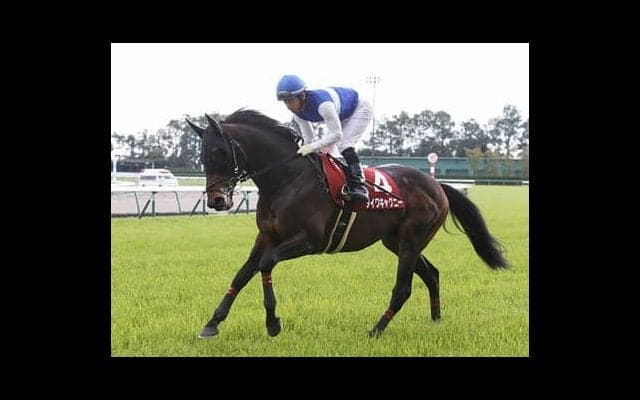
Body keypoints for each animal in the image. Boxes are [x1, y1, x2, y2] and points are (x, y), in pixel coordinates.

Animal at [186, 109, 508, 338]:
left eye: (219, 152)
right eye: (201, 156)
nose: (217, 200)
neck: (286, 180)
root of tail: (437, 184)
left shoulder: (309, 240)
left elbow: (265, 264)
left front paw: (273, 323)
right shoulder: (265, 237)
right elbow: (242, 274)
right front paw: (212, 323)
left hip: (410, 239)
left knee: (403, 288)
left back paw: (376, 330)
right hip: (396, 241)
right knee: (432, 274)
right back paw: (436, 319)